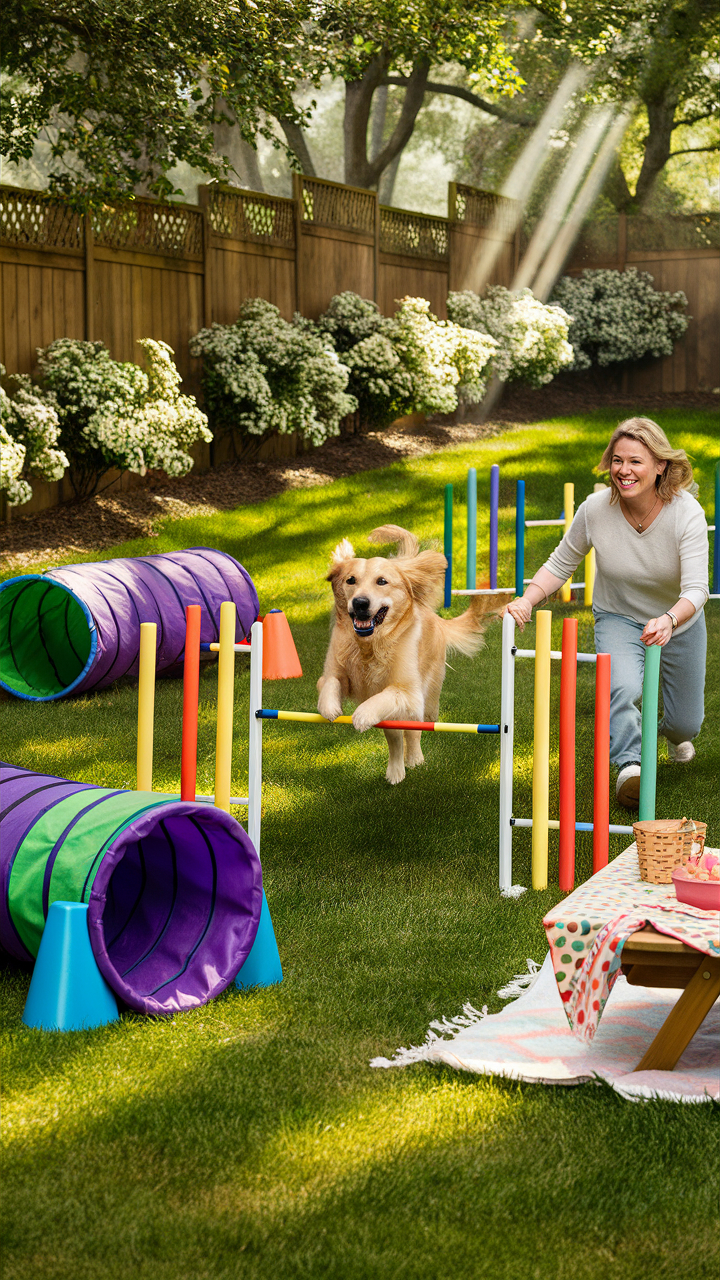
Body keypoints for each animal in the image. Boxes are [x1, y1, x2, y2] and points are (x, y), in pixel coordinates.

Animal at [313, 519, 504, 778]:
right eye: (350, 580)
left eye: (382, 581)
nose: (360, 602)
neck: (370, 645)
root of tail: (436, 618)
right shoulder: (335, 671)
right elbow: (330, 682)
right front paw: (330, 707)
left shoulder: (408, 693)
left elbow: (384, 698)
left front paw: (362, 715)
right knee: (395, 737)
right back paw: (396, 771)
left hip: (426, 697)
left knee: (413, 731)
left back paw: (414, 759)